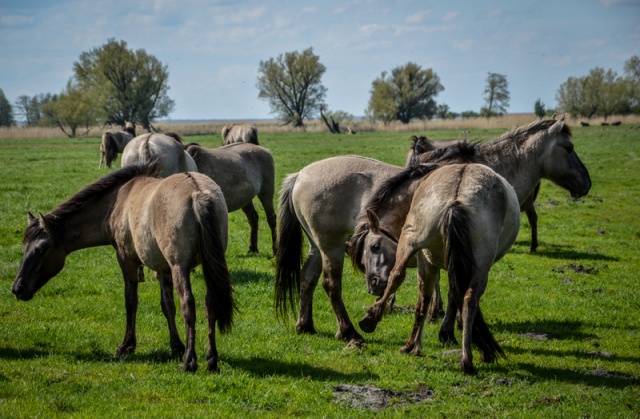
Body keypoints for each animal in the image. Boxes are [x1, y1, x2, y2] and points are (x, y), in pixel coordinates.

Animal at [11, 162, 236, 372]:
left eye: (41, 249)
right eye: (25, 248)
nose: (17, 288)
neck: (119, 200)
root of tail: (198, 193)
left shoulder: (127, 260)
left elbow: (131, 301)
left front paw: (127, 345)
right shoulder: (162, 267)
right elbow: (167, 305)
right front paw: (176, 345)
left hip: (180, 268)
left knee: (188, 304)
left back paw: (190, 361)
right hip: (206, 265)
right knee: (210, 304)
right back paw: (211, 359)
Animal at [274, 117, 592, 348]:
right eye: (569, 148)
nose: (586, 182)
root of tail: (300, 175)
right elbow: (451, 289)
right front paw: (452, 326)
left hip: (319, 247)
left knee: (307, 278)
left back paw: (306, 325)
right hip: (331, 249)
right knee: (331, 285)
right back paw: (350, 331)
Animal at [344, 162, 520, 376]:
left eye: (375, 247)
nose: (373, 286)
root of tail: (457, 197)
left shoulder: (427, 259)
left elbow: (428, 296)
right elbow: (452, 294)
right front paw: (449, 330)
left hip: (411, 240)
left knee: (399, 276)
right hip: (478, 263)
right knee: (468, 299)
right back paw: (465, 359)